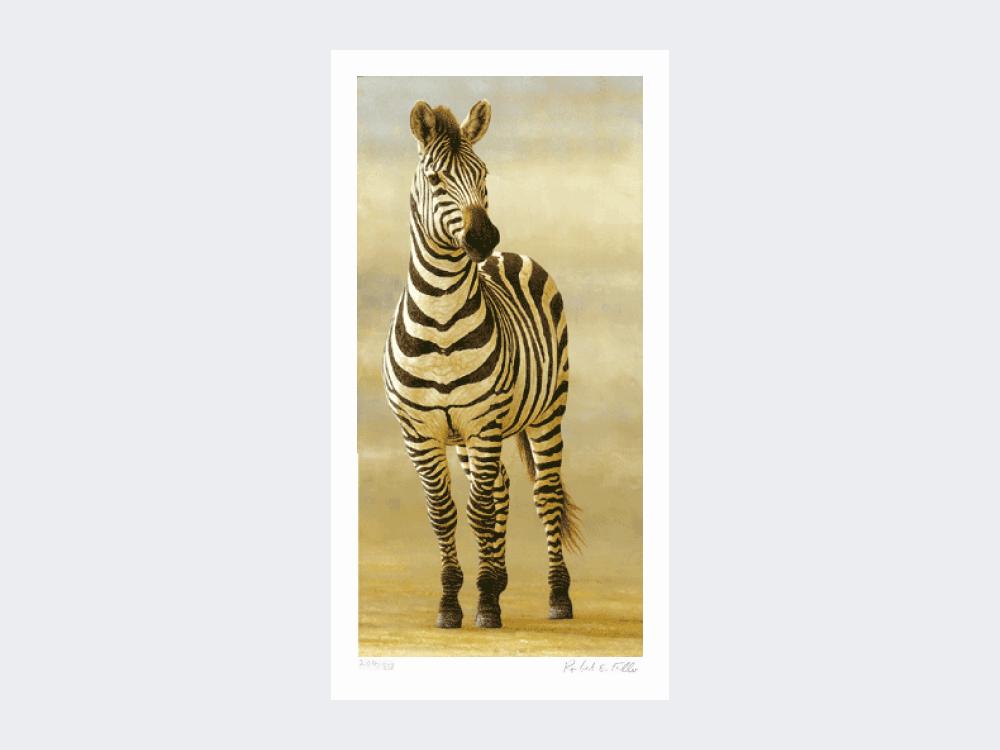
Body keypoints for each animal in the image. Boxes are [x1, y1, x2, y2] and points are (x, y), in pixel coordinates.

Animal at [382, 99, 581, 629]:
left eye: (484, 173)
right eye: (435, 179)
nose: (483, 237)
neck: (441, 319)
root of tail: (509, 257)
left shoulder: (484, 423)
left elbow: (477, 511)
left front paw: (486, 603)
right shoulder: (421, 434)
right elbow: (444, 514)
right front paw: (453, 601)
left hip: (547, 411)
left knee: (544, 494)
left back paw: (558, 596)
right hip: (466, 437)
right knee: (504, 489)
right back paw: (499, 577)